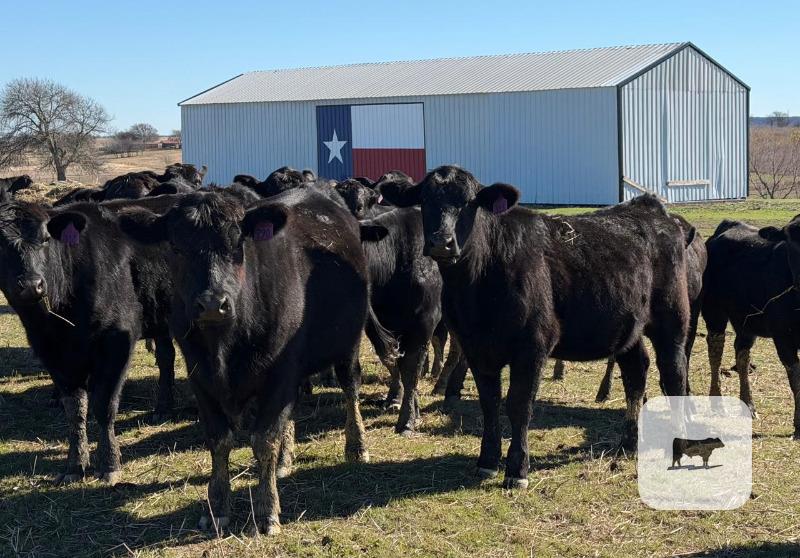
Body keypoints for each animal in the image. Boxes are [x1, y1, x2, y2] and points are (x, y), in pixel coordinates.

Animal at [0, 195, 181, 484]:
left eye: (46, 239)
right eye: (0, 245)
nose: (31, 285)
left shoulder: (117, 341)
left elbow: (104, 404)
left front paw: (109, 464)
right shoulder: (51, 352)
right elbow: (75, 410)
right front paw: (74, 465)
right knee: (166, 358)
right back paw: (164, 408)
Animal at [115, 189, 395, 534]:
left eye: (238, 244)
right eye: (176, 247)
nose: (212, 304)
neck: (224, 345)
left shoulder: (280, 372)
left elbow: (264, 439)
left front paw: (266, 510)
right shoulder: (200, 377)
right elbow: (219, 440)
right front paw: (217, 507)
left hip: (348, 344)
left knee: (350, 388)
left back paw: (356, 447)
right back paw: (285, 460)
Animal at [378, 166, 691, 488]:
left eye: (469, 202)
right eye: (425, 200)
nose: (442, 242)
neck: (477, 290)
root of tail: (649, 207)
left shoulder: (532, 346)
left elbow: (519, 405)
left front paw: (517, 470)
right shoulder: (475, 347)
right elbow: (490, 403)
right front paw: (487, 462)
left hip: (671, 318)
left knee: (674, 374)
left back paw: (678, 443)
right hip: (627, 327)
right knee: (636, 372)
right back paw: (628, 443)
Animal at [702, 217, 800, 438]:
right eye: (790, 240)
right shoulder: (783, 337)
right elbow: (796, 379)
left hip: (746, 322)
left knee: (742, 355)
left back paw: (748, 404)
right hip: (713, 312)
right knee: (715, 351)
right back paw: (717, 402)